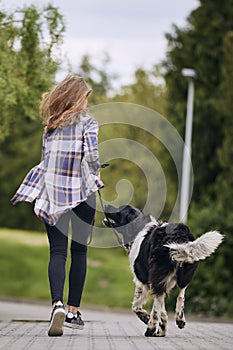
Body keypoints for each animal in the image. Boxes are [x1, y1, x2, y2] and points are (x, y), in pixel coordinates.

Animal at [103, 205, 222, 336]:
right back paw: (179, 320)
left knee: (157, 304)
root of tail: (178, 234)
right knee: (181, 294)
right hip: (185, 271)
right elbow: (162, 306)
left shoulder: (141, 280)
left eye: (120, 210)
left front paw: (146, 318)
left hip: (158, 273)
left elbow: (136, 305)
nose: (106, 205)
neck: (138, 228)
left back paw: (151, 328)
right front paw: (162, 327)